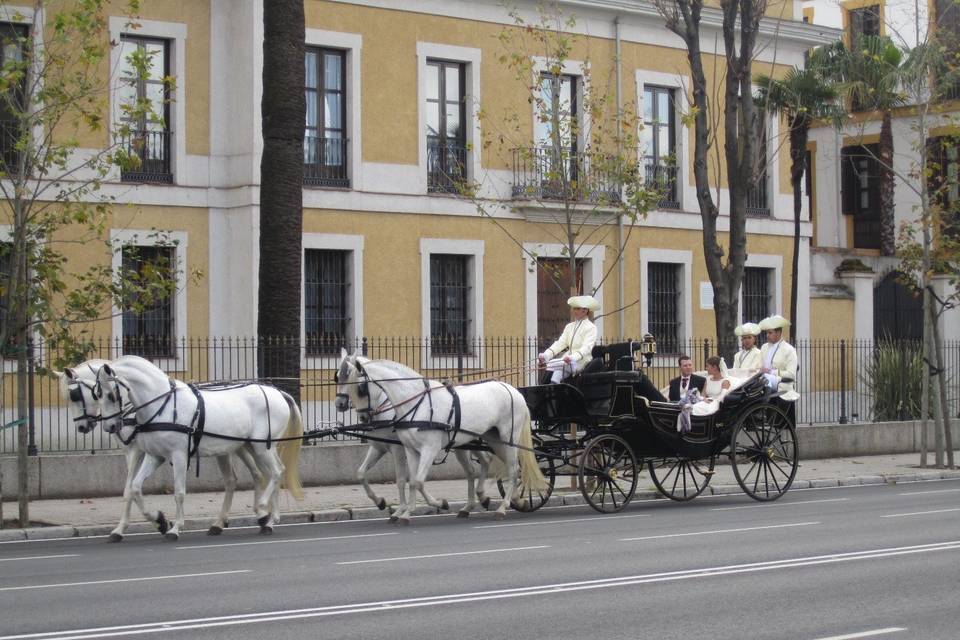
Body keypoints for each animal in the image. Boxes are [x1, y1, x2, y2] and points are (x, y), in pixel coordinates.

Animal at [58, 360, 268, 540]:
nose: (82, 427)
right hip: (235, 446)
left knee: (256, 474)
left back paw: (262, 514)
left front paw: (158, 523)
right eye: (96, 394)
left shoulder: (136, 450)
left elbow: (130, 489)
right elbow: (131, 488)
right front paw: (139, 525)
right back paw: (241, 518)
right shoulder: (140, 452)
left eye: (75, 395)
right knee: (245, 477)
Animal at [93, 356, 304, 540]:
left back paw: (263, 509)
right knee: (268, 474)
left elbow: (179, 493)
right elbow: (135, 488)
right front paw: (160, 520)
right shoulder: (155, 456)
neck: (163, 405)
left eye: (111, 394)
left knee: (277, 472)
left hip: (262, 447)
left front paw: (175, 528)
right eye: (97, 395)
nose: (110, 427)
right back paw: (268, 520)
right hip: (252, 446)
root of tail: (279, 393)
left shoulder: (179, 455)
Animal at [338, 352, 548, 524]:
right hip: (492, 440)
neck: (416, 403)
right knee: (491, 468)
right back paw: (498, 501)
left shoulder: (425, 450)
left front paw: (438, 503)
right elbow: (410, 481)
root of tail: (512, 390)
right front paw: (406, 512)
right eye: (338, 378)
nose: (363, 417)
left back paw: (502, 508)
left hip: (508, 438)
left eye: (360, 387)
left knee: (512, 470)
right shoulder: (407, 449)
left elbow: (415, 481)